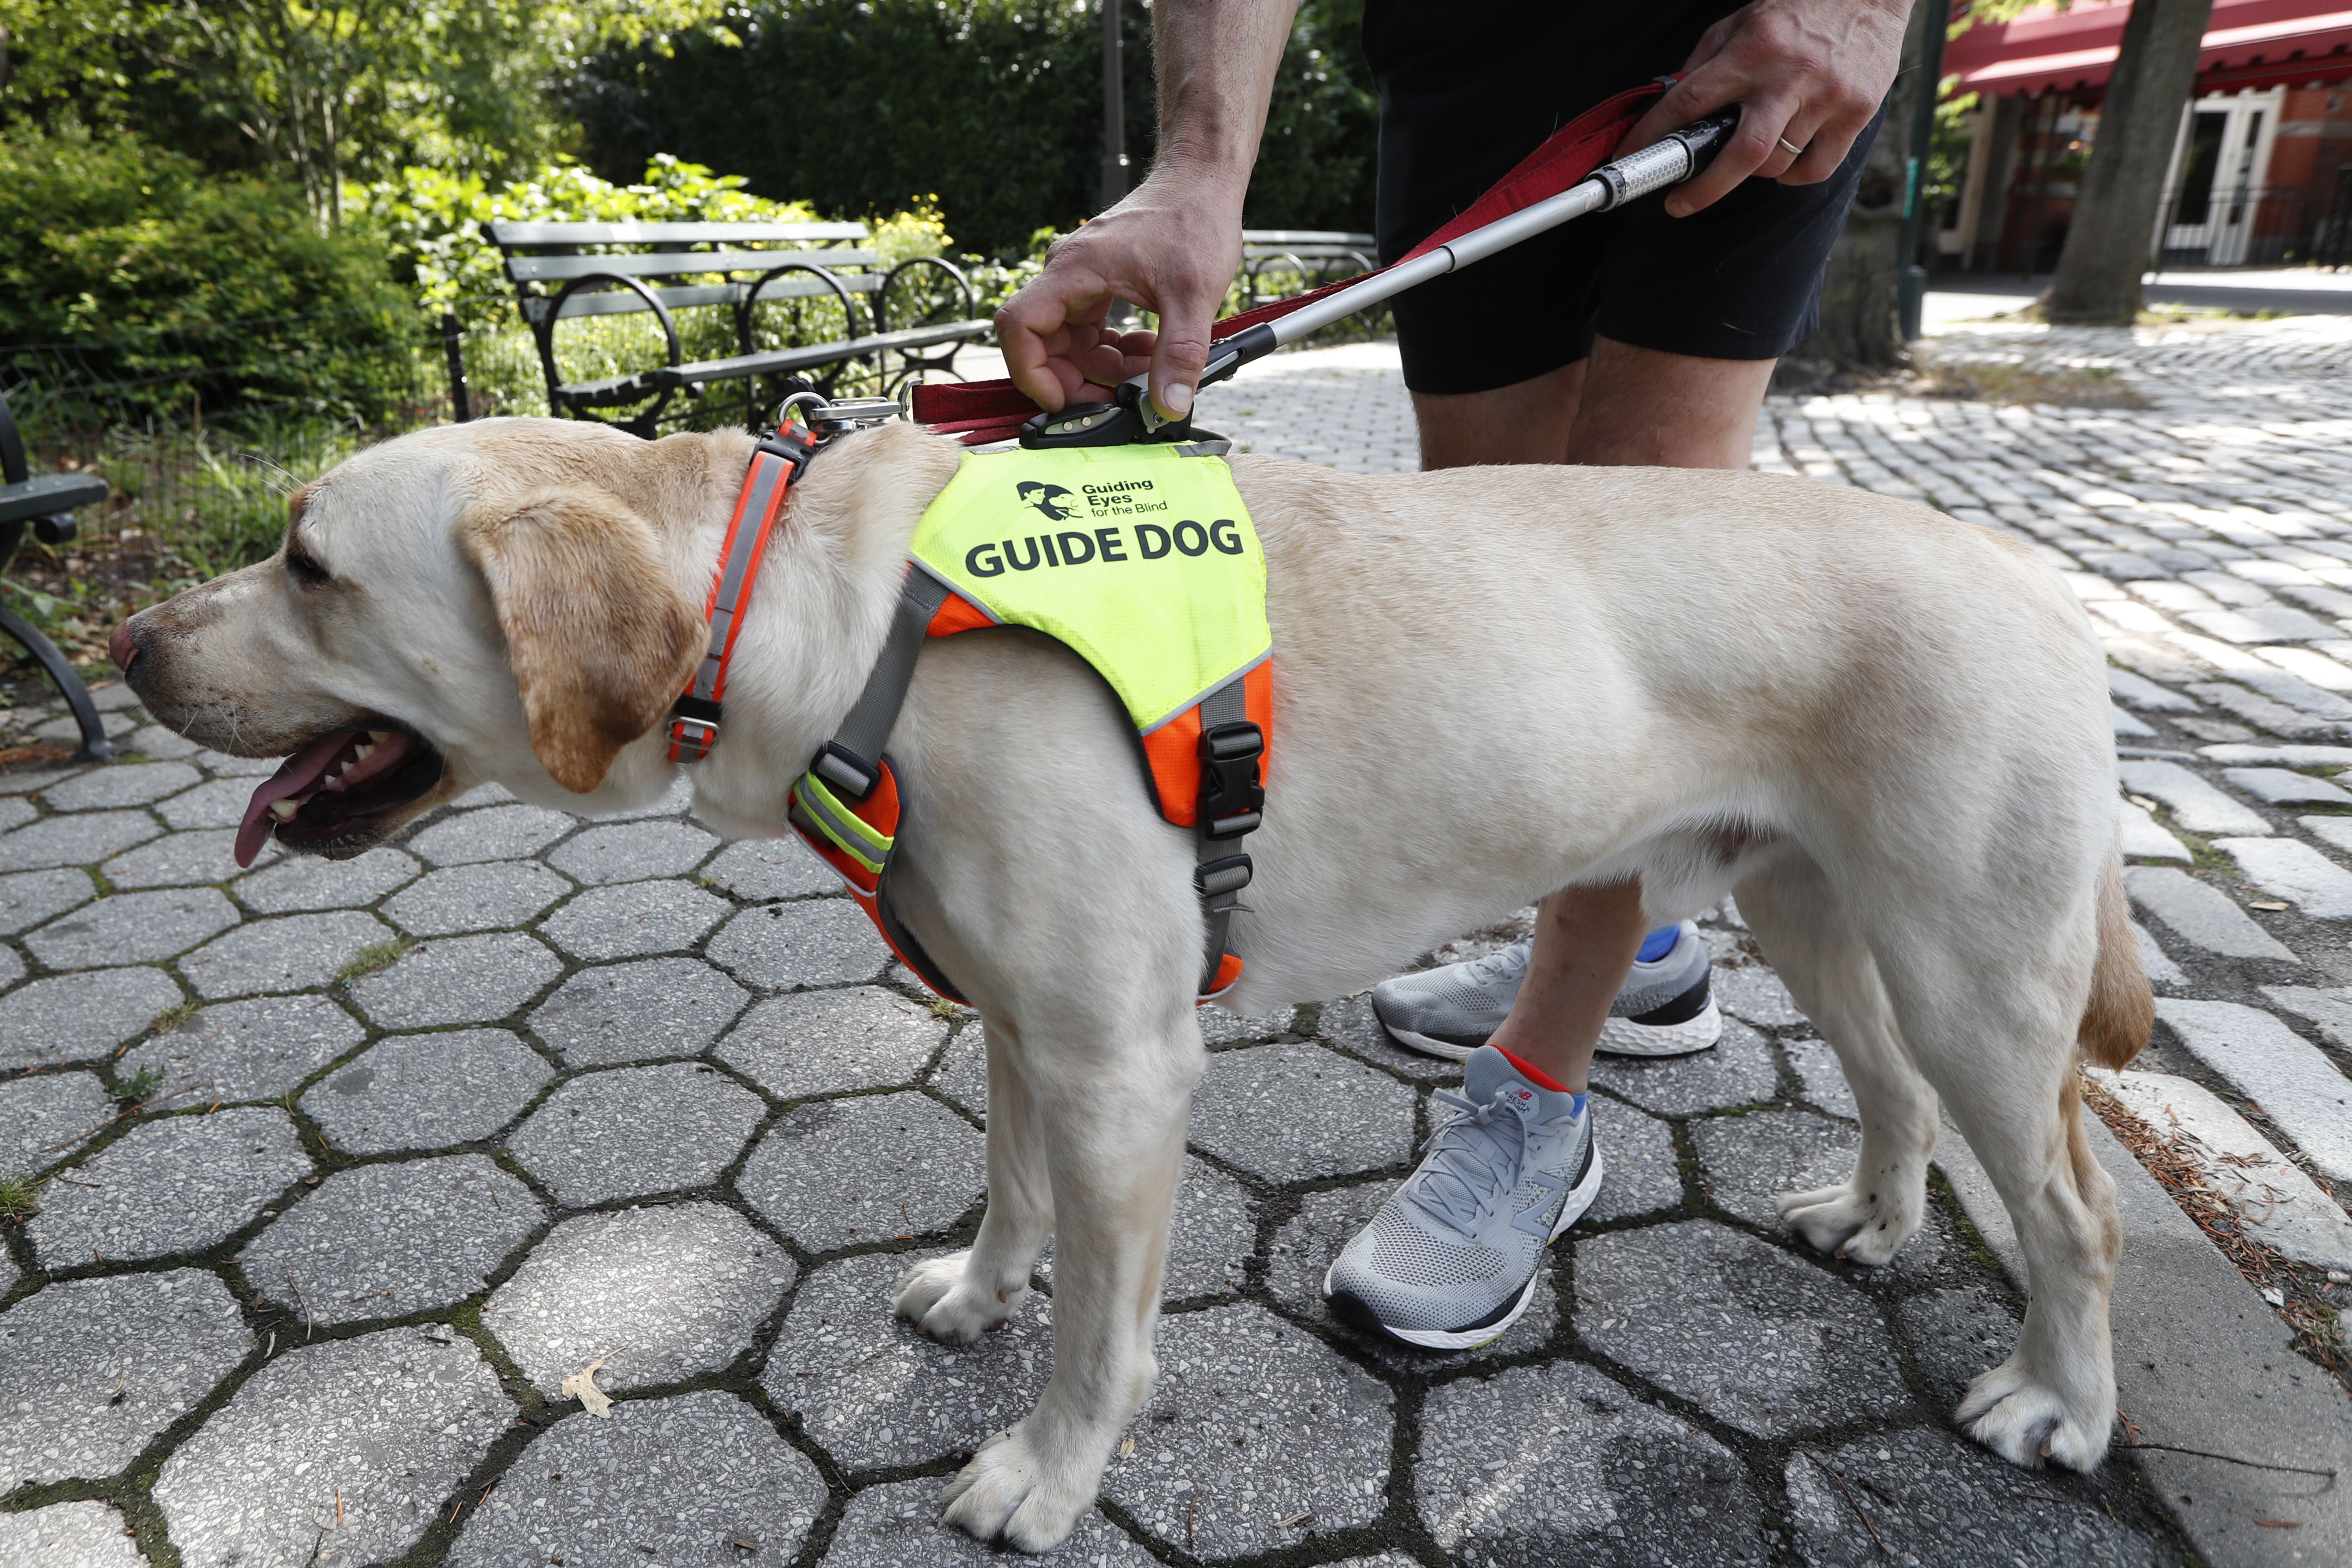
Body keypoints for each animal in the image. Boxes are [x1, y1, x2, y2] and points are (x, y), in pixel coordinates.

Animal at [115, 411, 2154, 1551]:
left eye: (306, 562)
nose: (125, 640)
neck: (828, 616)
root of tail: (2047, 585)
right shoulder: (1022, 1019)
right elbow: (1011, 1195)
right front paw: (978, 1289)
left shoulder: (1120, 1061)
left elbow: (1104, 1321)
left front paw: (1047, 1468)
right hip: (1822, 916)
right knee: (1893, 1090)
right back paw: (1876, 1217)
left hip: (1978, 965)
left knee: (2072, 1207)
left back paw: (2058, 1404)